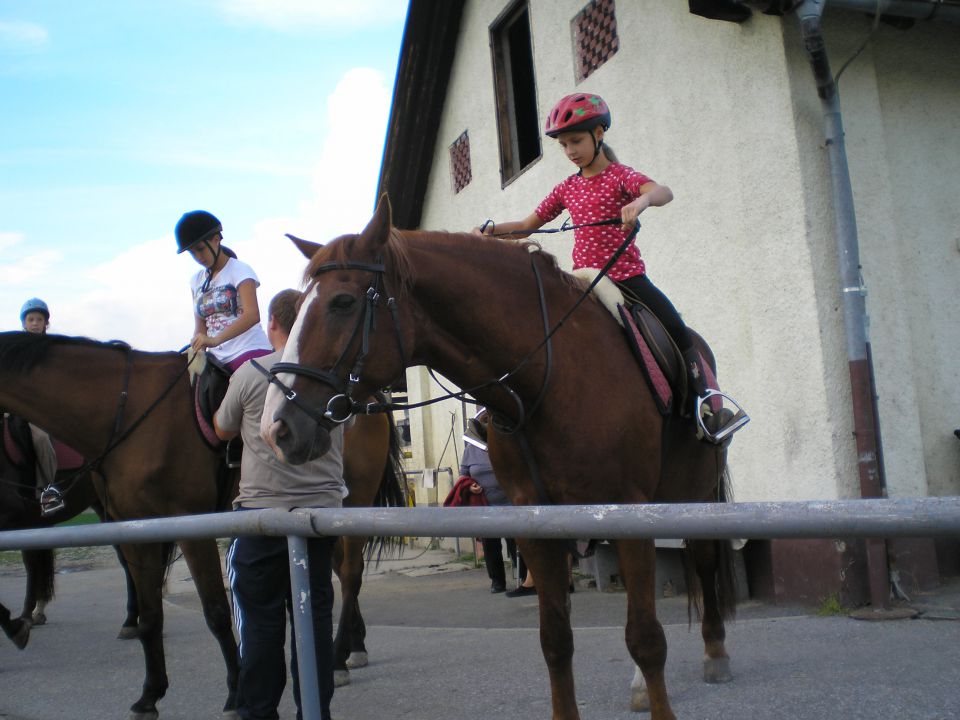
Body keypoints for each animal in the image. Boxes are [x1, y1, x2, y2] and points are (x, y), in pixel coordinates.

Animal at [0, 332, 402, 720]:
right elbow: (151, 616)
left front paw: (236, 693)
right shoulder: (136, 531)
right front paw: (149, 696)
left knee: (350, 575)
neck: (127, 411)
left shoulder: (191, 526)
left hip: (353, 501)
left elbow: (217, 612)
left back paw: (337, 659)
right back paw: (354, 647)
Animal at [258, 200, 740, 720]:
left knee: (703, 563)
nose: (277, 427)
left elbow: (647, 638)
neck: (552, 377)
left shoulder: (630, 509)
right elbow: (556, 641)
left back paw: (716, 652)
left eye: (343, 302)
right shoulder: (539, 526)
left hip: (695, 494)